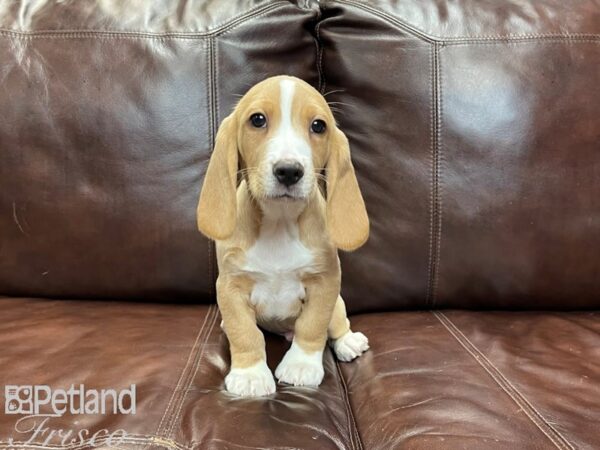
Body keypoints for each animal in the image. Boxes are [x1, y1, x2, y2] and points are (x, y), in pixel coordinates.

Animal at [197, 74, 370, 398]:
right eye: (257, 120)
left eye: (319, 126)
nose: (289, 171)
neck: (280, 220)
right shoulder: (230, 286)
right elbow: (245, 333)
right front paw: (250, 374)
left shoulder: (326, 282)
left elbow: (313, 326)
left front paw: (301, 365)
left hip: (338, 304)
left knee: (336, 323)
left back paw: (347, 341)